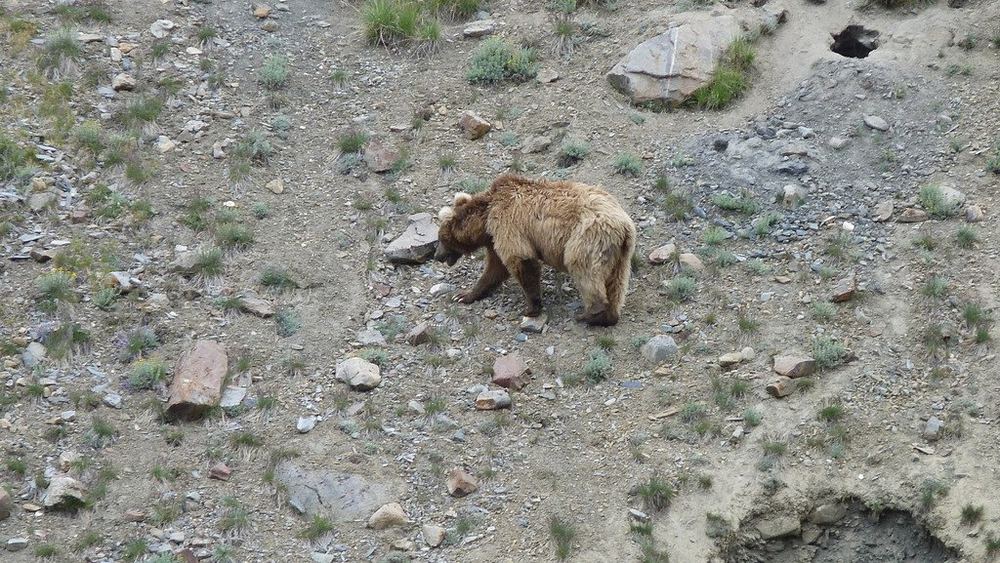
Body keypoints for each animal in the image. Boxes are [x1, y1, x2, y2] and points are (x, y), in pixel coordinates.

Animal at [434, 174, 637, 327]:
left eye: (440, 238)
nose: (437, 256)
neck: (485, 219)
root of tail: (623, 225)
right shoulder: (494, 238)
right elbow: (494, 269)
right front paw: (464, 295)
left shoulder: (508, 224)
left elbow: (520, 260)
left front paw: (531, 308)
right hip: (620, 252)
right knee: (616, 281)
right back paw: (610, 315)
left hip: (586, 236)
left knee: (583, 268)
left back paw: (589, 315)